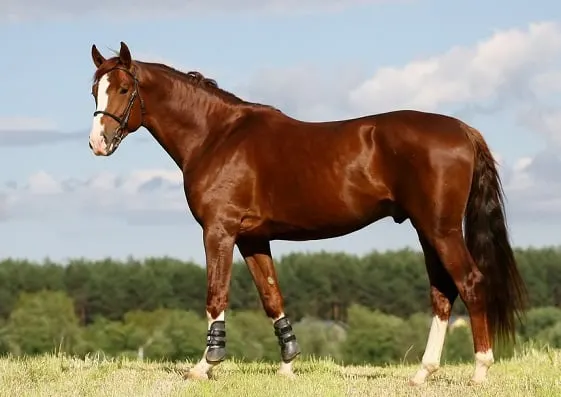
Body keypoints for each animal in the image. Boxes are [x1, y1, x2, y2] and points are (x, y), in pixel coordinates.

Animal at [86, 41, 524, 384]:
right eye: (94, 90)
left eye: (123, 88)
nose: (97, 143)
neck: (217, 136)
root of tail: (463, 130)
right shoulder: (253, 237)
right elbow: (271, 296)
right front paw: (288, 364)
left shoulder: (219, 231)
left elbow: (216, 293)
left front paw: (204, 366)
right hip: (427, 229)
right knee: (443, 292)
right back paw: (423, 372)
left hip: (441, 229)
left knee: (470, 283)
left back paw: (480, 370)